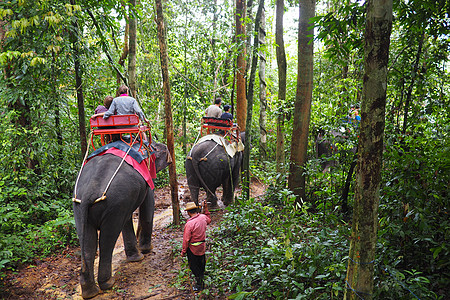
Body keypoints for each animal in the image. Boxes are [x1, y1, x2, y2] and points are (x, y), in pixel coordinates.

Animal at [72, 142, 171, 298]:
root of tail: (89, 192)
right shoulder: (143, 181)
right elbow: (148, 203)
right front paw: (146, 250)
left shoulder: (126, 198)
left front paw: (137, 256)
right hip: (115, 201)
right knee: (107, 239)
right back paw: (108, 283)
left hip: (81, 205)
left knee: (87, 241)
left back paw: (89, 292)